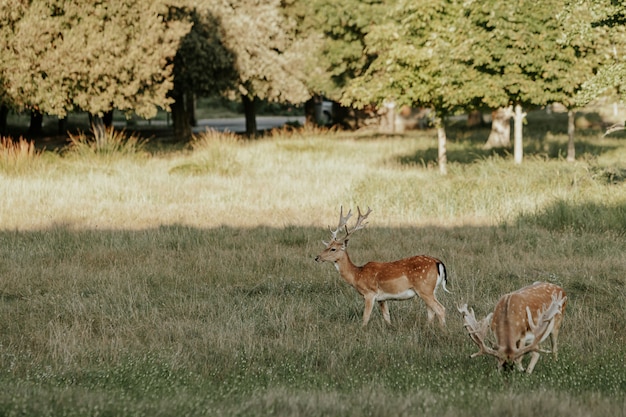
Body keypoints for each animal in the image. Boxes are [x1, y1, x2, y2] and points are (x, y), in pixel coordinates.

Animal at [312, 206, 448, 326]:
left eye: (333, 249)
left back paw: (443, 331)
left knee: (440, 309)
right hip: (431, 290)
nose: (317, 257)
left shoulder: (369, 293)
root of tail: (438, 263)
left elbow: (365, 318)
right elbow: (387, 317)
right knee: (431, 312)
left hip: (424, 288)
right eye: (326, 246)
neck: (357, 275)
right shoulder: (382, 298)